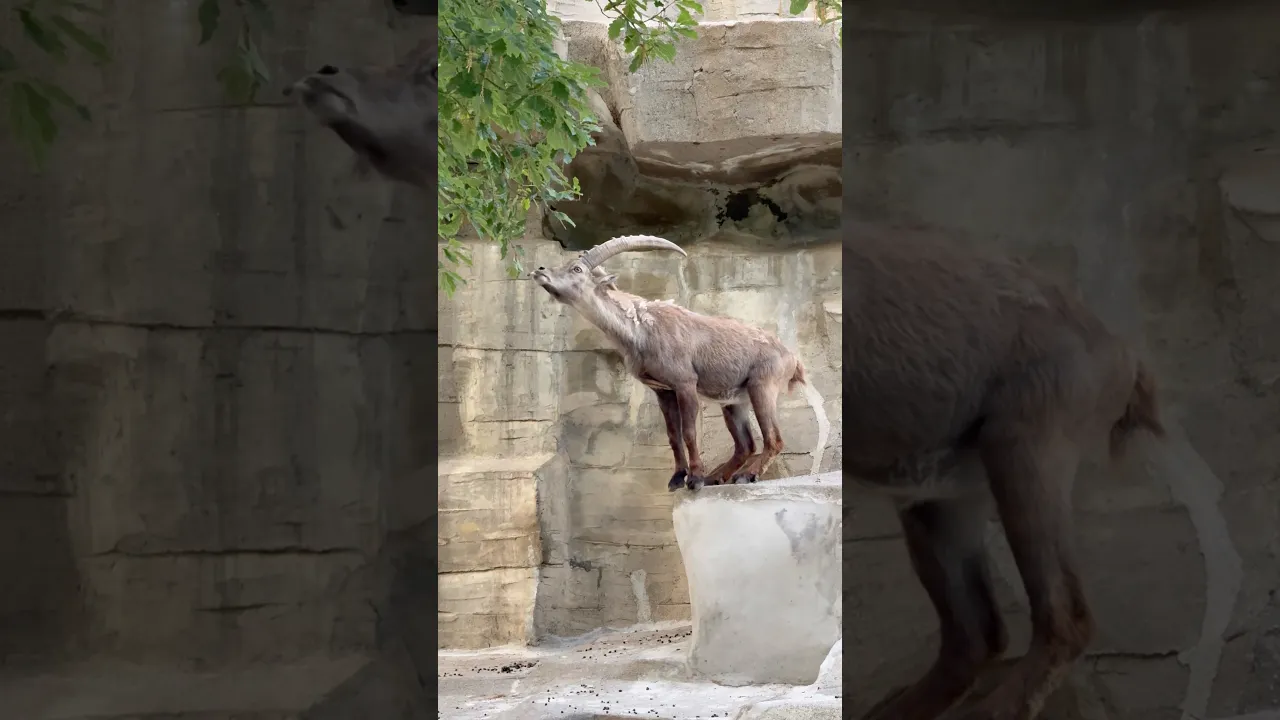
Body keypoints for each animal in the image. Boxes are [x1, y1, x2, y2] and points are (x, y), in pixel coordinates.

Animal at [531, 235, 808, 492]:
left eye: (577, 269)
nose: (540, 271)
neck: (640, 329)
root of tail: (792, 359)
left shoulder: (685, 383)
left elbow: (689, 432)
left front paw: (694, 479)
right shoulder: (662, 390)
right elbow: (673, 435)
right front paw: (677, 479)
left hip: (763, 386)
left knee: (774, 439)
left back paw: (745, 475)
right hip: (733, 401)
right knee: (745, 445)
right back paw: (717, 477)